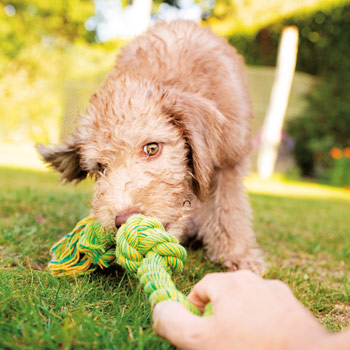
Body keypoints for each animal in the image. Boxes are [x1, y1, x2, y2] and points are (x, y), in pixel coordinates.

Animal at [38, 19, 266, 274]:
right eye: (101, 168)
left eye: (152, 148)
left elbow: (229, 208)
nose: (123, 220)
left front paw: (238, 255)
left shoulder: (230, 160)